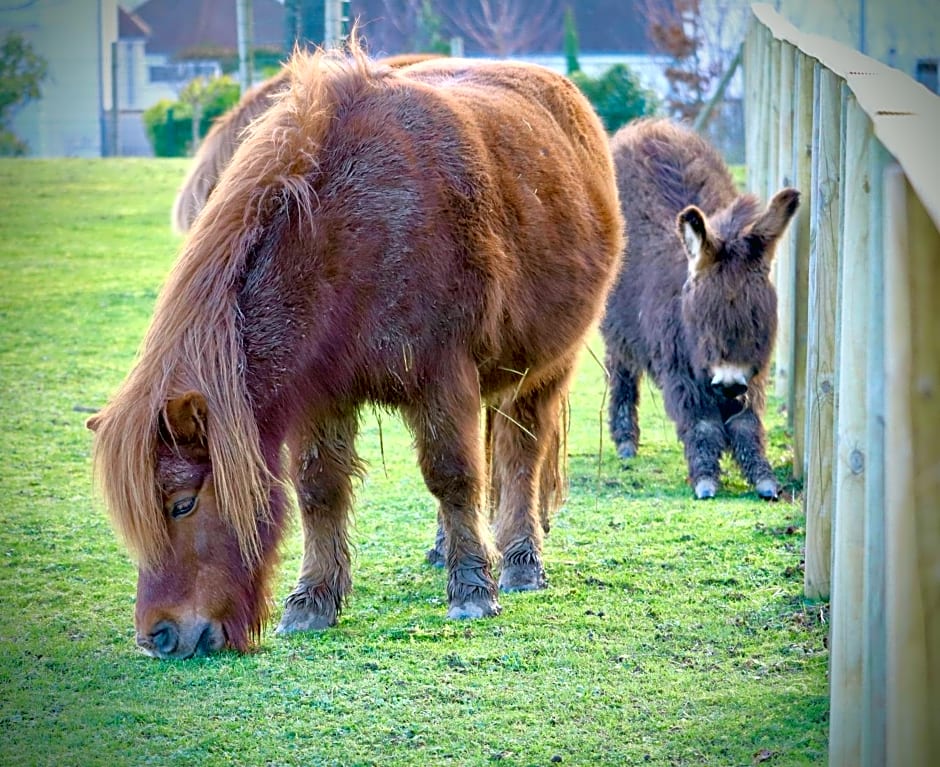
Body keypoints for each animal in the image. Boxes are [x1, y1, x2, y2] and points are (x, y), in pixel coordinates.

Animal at [604, 115, 800, 498]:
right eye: (703, 319)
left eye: (757, 319)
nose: (729, 384)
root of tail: (645, 128)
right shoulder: (681, 370)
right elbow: (703, 424)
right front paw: (706, 477)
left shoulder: (752, 374)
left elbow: (746, 423)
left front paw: (764, 477)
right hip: (616, 328)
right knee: (621, 370)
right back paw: (625, 441)